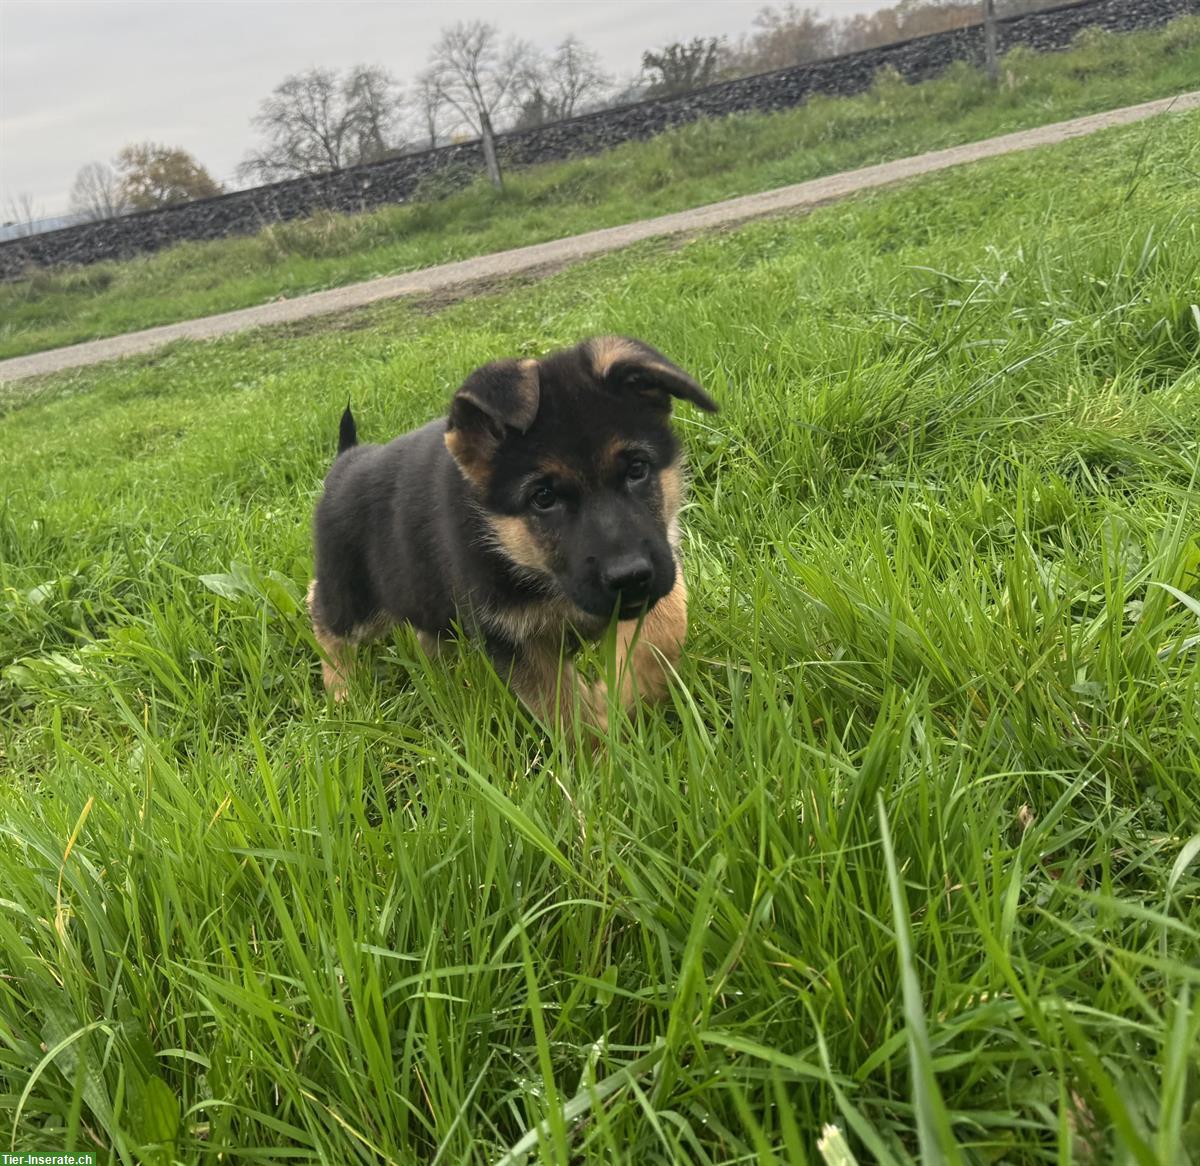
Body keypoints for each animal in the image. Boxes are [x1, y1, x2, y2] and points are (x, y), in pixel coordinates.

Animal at [312, 333, 720, 729]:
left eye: (637, 469)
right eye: (543, 497)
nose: (631, 577)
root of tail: (345, 461)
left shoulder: (662, 561)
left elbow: (663, 631)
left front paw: (620, 700)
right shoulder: (512, 638)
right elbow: (562, 711)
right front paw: (599, 739)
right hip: (355, 600)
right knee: (322, 614)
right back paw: (342, 691)